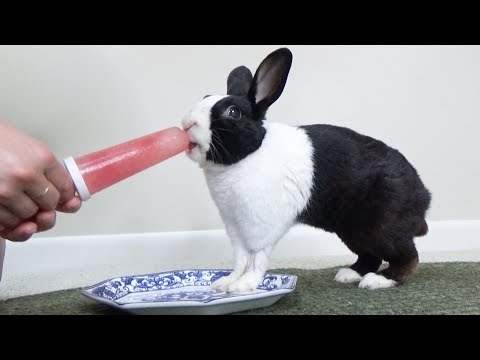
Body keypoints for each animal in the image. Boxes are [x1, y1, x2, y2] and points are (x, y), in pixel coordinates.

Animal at [180, 46, 432, 292]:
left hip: (381, 228)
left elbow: (256, 260)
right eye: (205, 97)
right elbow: (240, 259)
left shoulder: (260, 228)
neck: (248, 156)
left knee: (408, 257)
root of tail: (423, 195)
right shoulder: (235, 229)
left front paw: (244, 286)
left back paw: (378, 281)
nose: (187, 123)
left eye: (233, 112)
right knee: (371, 256)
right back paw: (348, 275)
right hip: (353, 230)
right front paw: (224, 283)